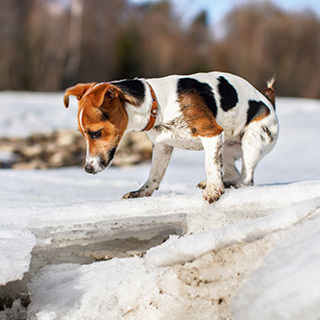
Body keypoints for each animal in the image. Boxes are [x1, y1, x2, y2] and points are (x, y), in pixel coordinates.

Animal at [63, 72, 278, 202]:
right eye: (82, 134)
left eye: (95, 133)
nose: (88, 169)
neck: (157, 104)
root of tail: (269, 101)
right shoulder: (162, 146)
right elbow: (154, 174)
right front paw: (142, 193)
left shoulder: (211, 133)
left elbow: (210, 165)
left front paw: (213, 190)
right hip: (227, 149)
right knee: (232, 172)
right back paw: (220, 182)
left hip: (252, 139)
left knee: (246, 178)